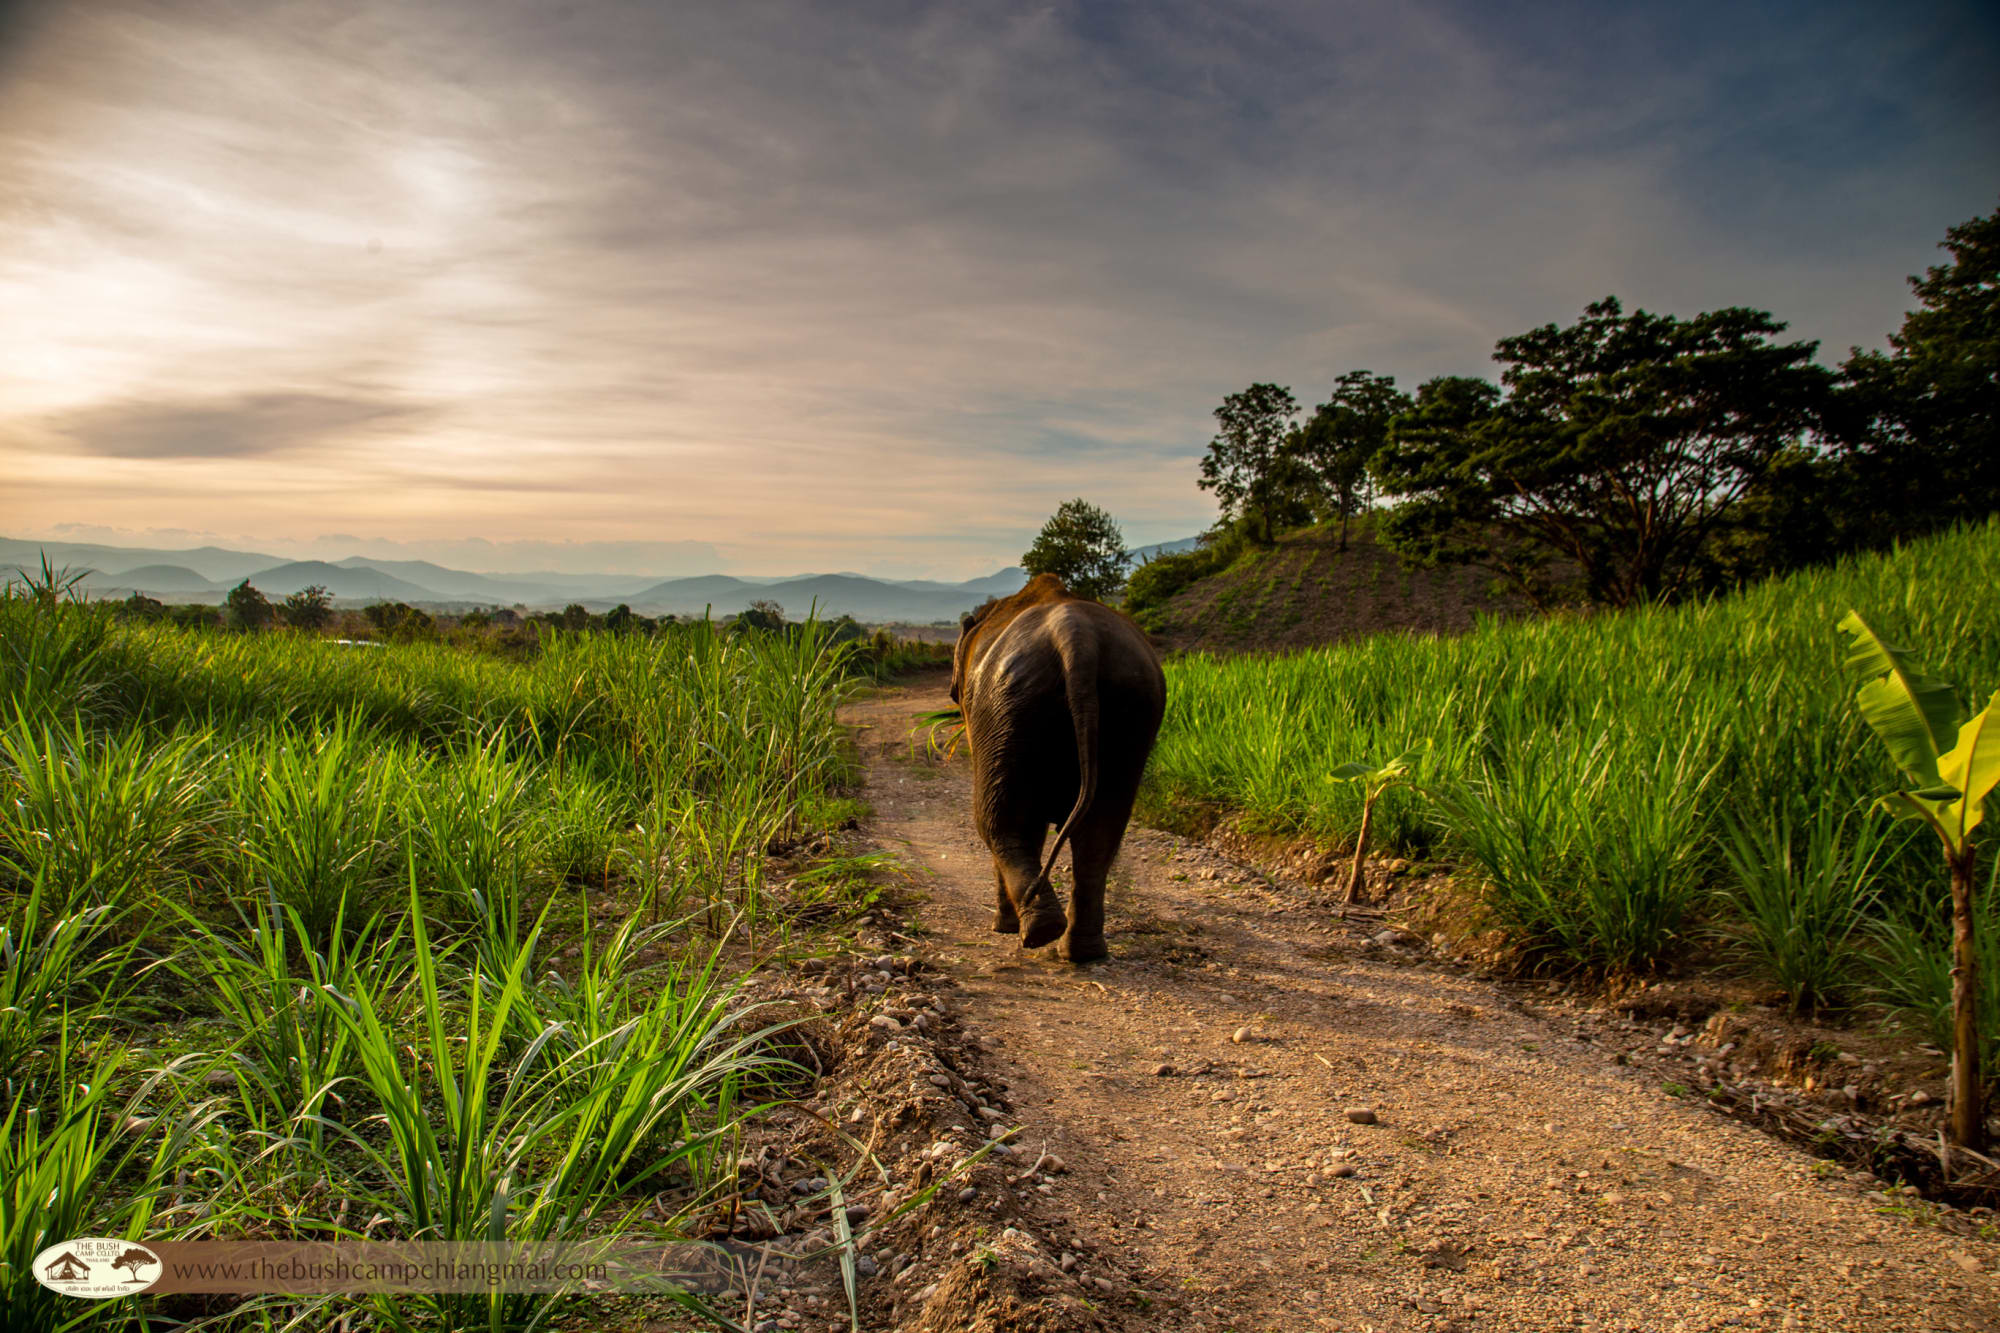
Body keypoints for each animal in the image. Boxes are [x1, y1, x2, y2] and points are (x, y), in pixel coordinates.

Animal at [949, 574, 1166, 963]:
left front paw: (1004, 928)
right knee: (1099, 834)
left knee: (998, 822)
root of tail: (1077, 642)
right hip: (1132, 704)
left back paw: (1039, 931)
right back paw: (1080, 951)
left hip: (1007, 705)